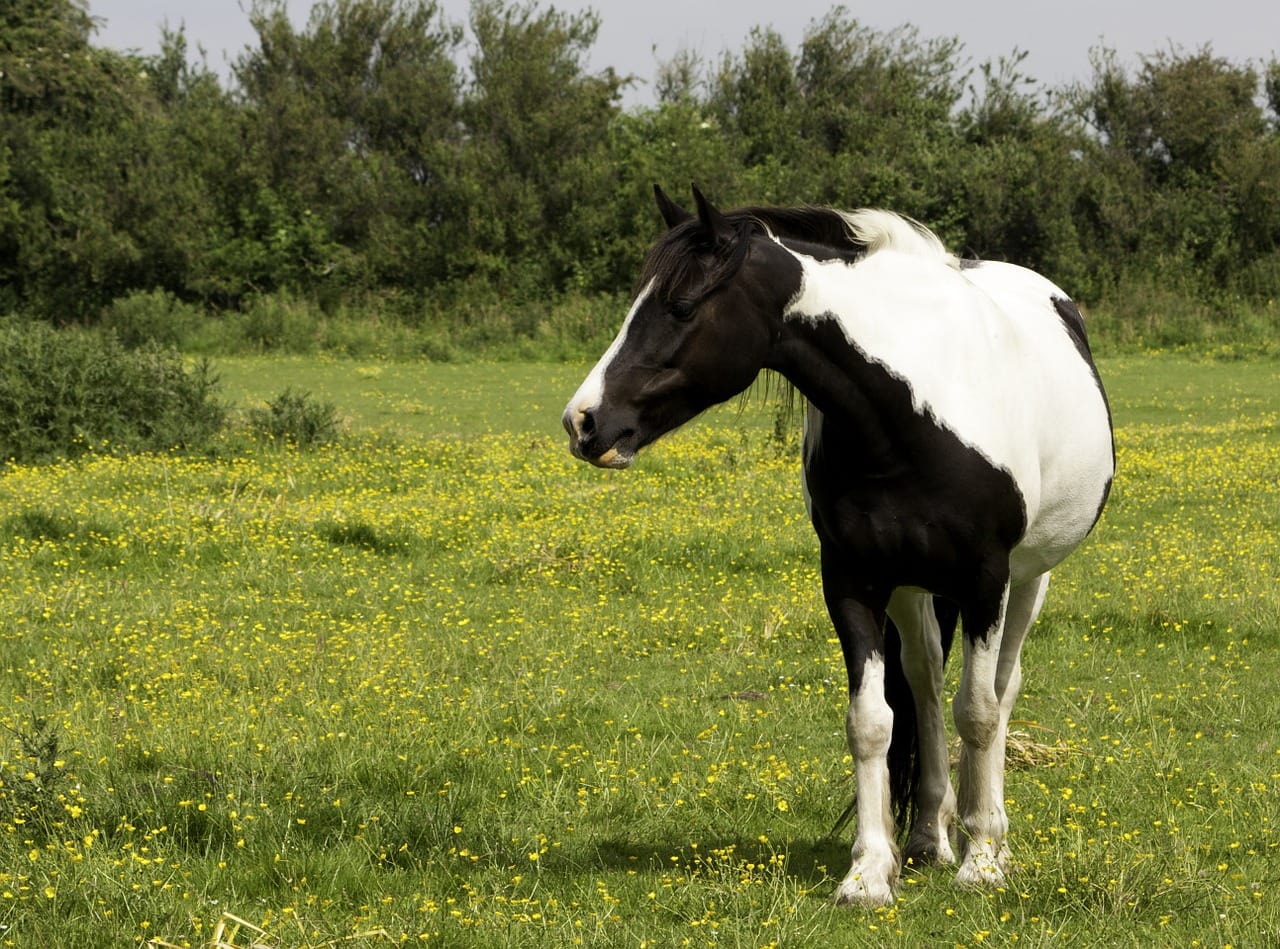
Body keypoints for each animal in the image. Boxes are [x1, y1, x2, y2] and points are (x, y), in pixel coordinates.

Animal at [561, 185, 1114, 907]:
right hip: (910, 588)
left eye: (681, 305)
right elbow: (873, 721)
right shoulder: (853, 580)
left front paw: (984, 862)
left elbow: (980, 711)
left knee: (999, 688)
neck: (913, 412)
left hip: (1028, 580)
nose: (583, 422)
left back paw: (984, 837)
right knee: (927, 682)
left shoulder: (985, 579)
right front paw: (870, 871)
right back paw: (930, 836)